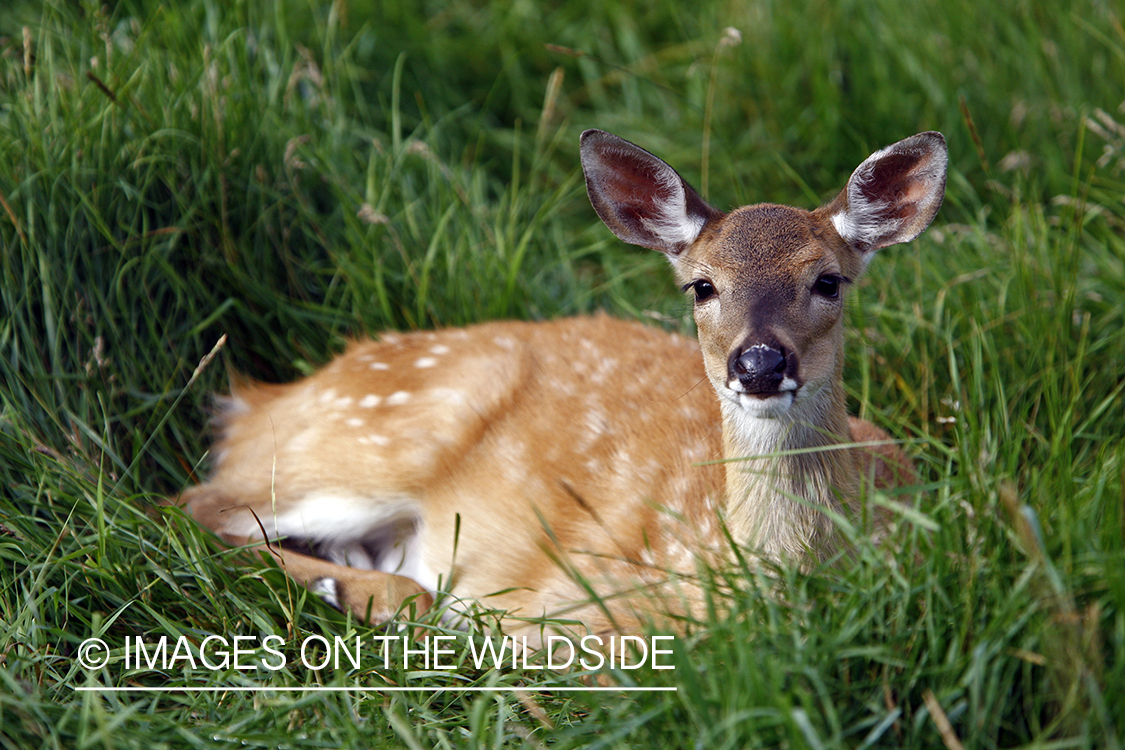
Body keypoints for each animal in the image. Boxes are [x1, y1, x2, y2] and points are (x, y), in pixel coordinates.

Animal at [176, 129, 947, 641]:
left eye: (828, 281)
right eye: (701, 285)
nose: (758, 364)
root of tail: (257, 402)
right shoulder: (570, 609)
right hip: (375, 438)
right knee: (192, 506)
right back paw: (381, 593)